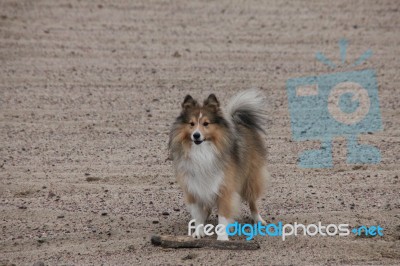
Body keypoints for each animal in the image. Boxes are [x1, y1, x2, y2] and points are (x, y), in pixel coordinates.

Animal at [169, 89, 268, 241]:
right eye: (191, 124)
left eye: (206, 123)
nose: (196, 135)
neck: (202, 151)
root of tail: (238, 120)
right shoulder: (194, 187)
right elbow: (198, 214)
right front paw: (199, 232)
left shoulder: (225, 188)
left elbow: (223, 216)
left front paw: (222, 237)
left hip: (250, 180)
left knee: (253, 202)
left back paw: (258, 220)